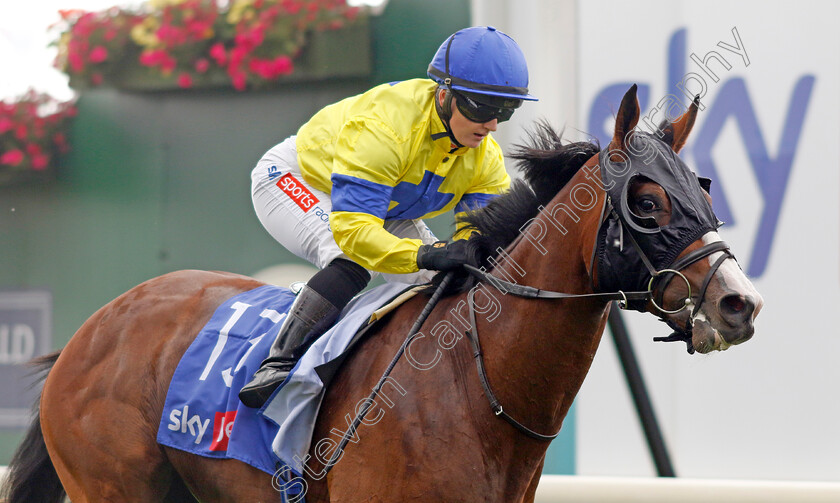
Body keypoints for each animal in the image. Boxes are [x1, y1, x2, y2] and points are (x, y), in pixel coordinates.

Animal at [1, 84, 760, 502]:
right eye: (648, 203)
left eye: (704, 190)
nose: (739, 303)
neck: (472, 388)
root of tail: (92, 328)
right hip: (111, 483)